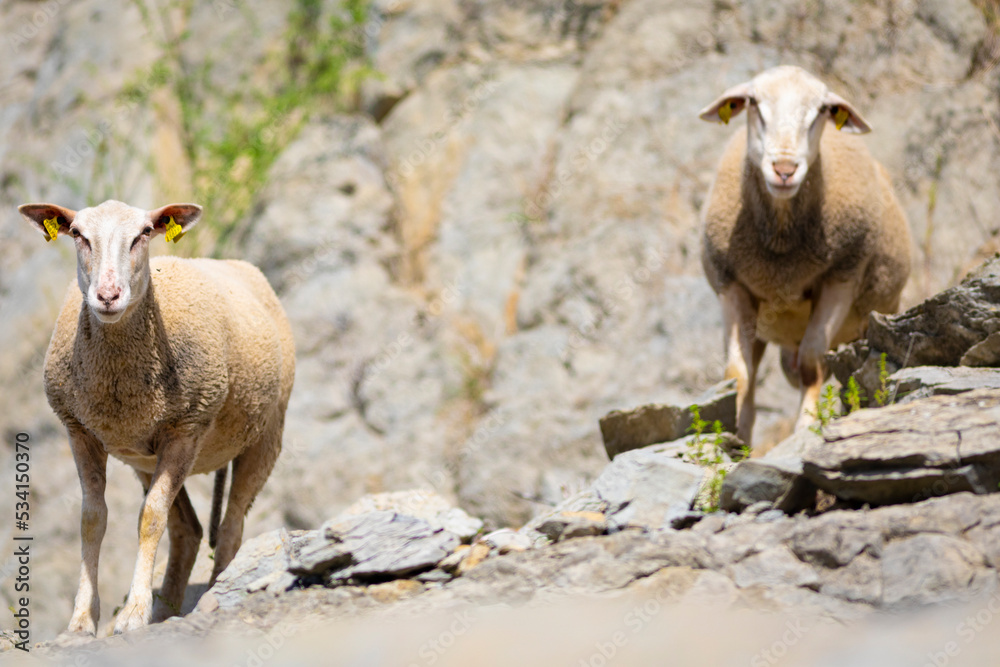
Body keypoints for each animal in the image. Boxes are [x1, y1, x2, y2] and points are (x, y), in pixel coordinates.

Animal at [18, 200, 292, 636]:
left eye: (144, 233)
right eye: (77, 234)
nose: (108, 295)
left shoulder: (186, 428)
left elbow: (150, 518)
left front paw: (132, 614)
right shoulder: (79, 431)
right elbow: (92, 519)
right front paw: (82, 619)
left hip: (266, 434)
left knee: (230, 527)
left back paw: (213, 594)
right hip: (144, 460)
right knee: (189, 530)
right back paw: (166, 610)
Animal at [700, 66, 912, 448]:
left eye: (822, 111)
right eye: (754, 104)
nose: (784, 169)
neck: (782, 254)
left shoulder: (841, 278)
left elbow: (815, 362)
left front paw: (807, 426)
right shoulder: (731, 286)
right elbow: (738, 374)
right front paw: (735, 441)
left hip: (874, 312)